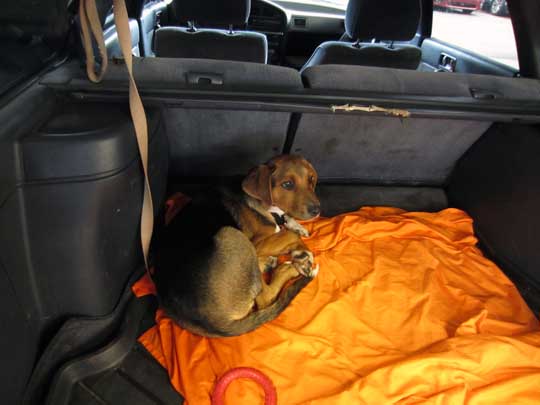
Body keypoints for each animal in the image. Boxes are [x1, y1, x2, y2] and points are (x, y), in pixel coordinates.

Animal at [153, 153, 320, 336]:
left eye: (311, 180)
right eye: (287, 184)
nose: (317, 210)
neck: (266, 205)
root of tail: (215, 324)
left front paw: (297, 229)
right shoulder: (257, 244)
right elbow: (289, 235)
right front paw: (302, 254)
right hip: (232, 235)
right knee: (266, 297)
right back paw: (286, 268)